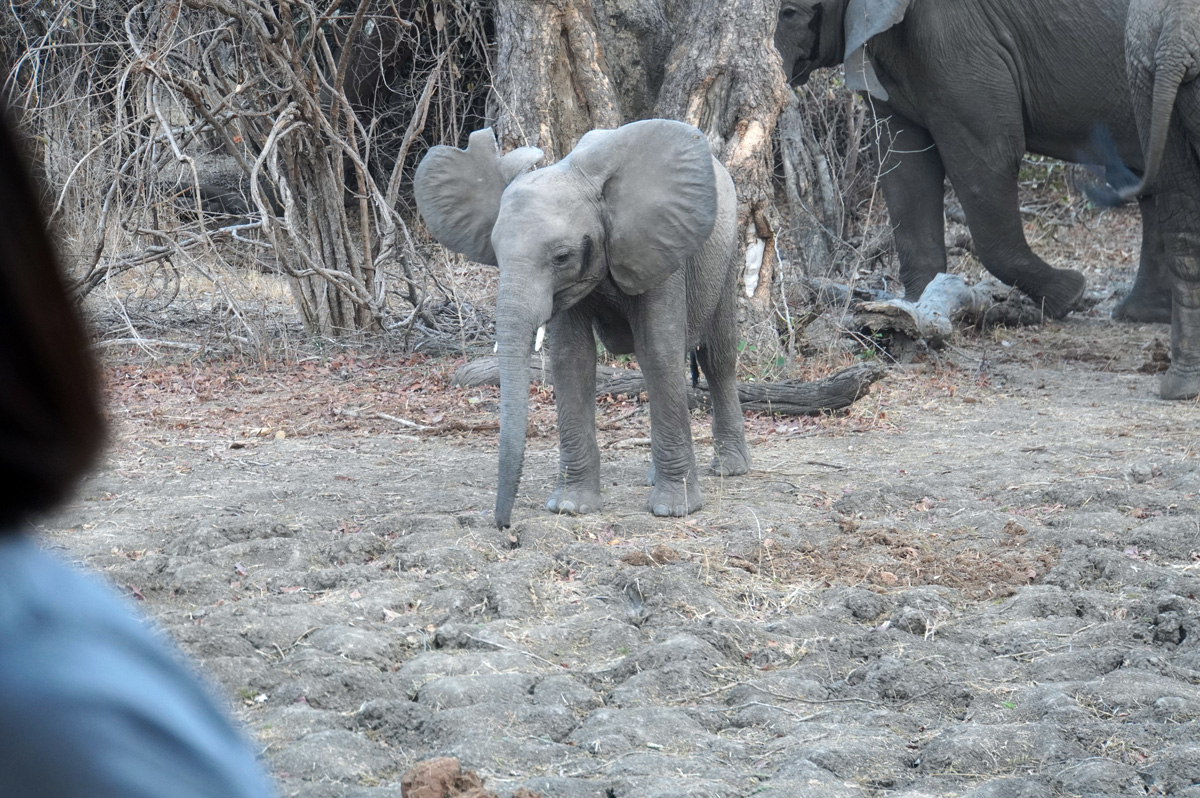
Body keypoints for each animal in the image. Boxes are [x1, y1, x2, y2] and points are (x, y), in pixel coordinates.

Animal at [413, 120, 750, 528]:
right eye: (496, 254)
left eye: (562, 256)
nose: (503, 525)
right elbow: (571, 360)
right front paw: (571, 507)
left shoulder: (659, 247)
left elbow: (658, 351)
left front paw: (674, 509)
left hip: (727, 252)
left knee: (717, 356)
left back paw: (730, 468)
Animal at [774, 0, 1173, 322]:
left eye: (788, 12)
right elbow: (905, 169)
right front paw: (917, 306)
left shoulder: (957, 40)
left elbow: (988, 157)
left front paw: (1070, 295)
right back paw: (1141, 314)